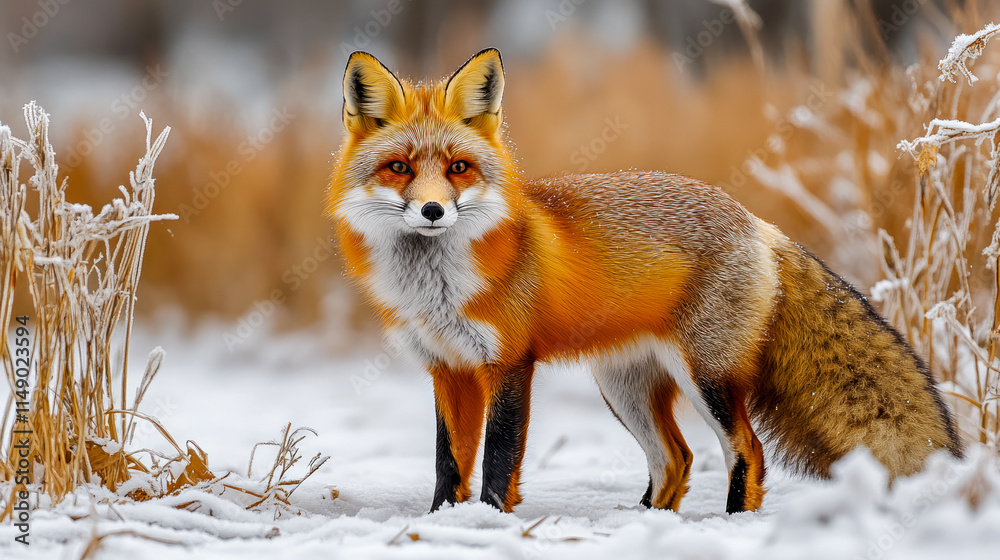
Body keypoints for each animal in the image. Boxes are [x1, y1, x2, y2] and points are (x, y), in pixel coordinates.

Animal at [326, 48, 964, 515]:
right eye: (400, 168)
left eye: (458, 168)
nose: (433, 210)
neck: (437, 289)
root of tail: (756, 221)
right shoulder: (448, 368)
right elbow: (448, 462)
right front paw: (442, 521)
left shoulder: (508, 364)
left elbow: (498, 459)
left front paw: (489, 520)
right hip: (624, 387)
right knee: (675, 459)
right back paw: (648, 521)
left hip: (707, 376)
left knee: (747, 449)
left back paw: (732, 522)